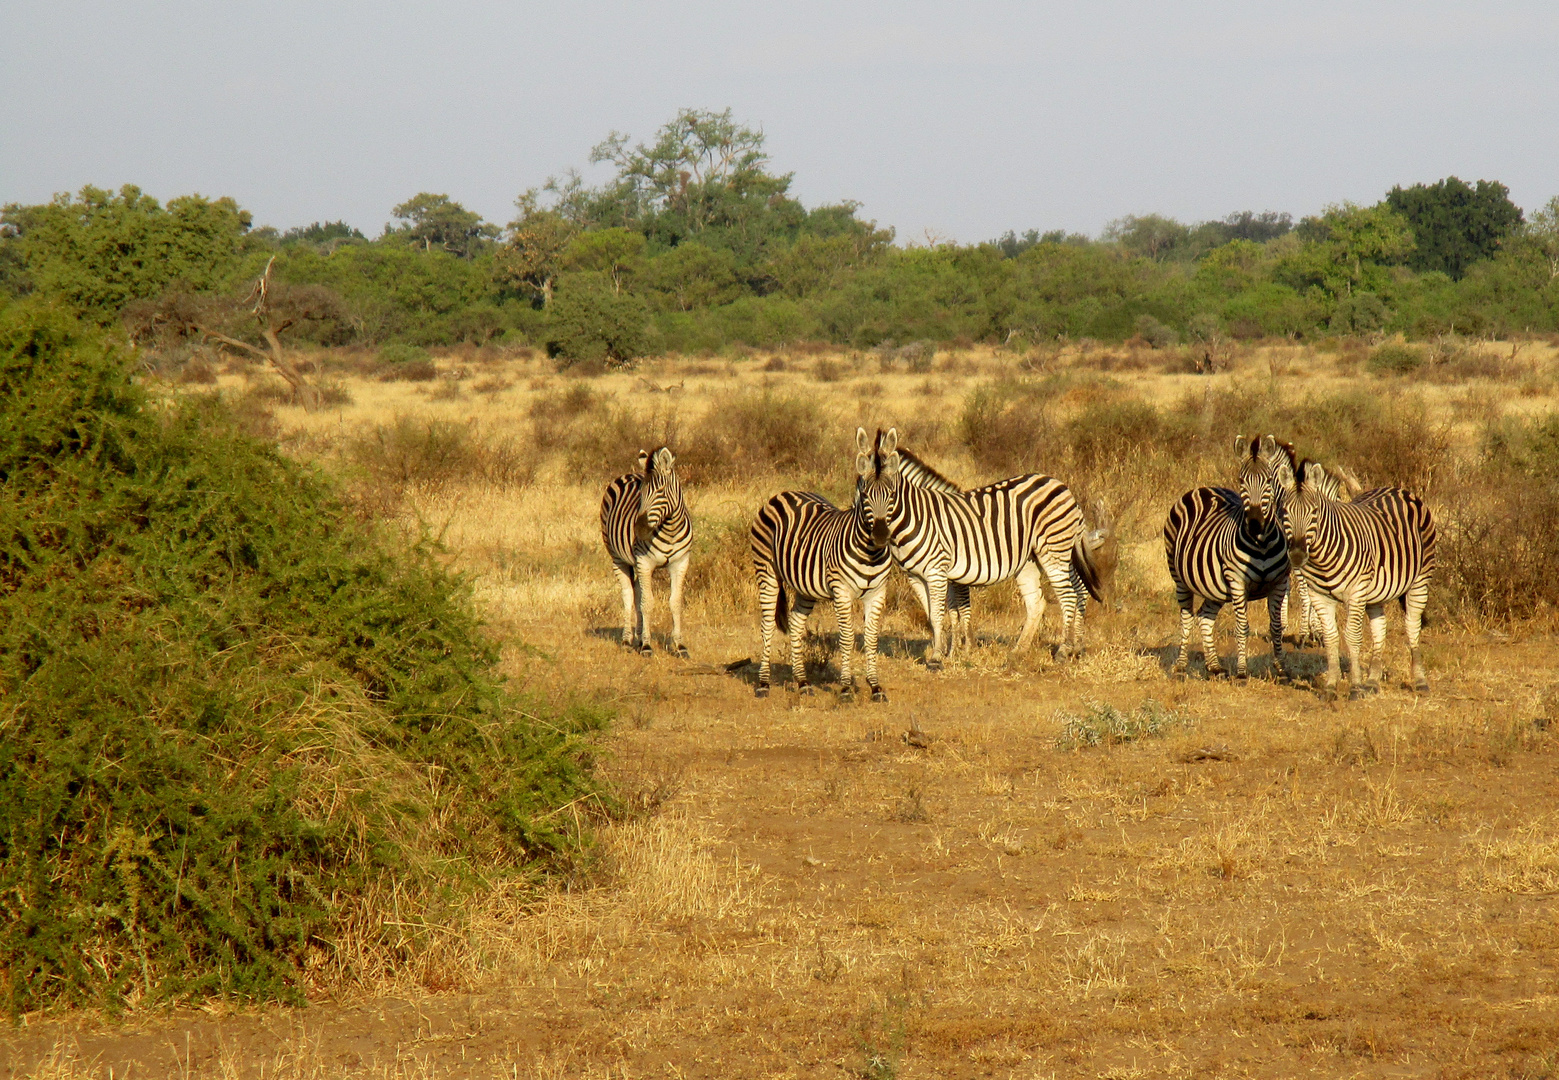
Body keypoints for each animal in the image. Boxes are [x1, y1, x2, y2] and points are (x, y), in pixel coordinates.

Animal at [598, 445, 692, 657]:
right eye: (640, 494)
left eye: (660, 491)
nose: (639, 529)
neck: (670, 529)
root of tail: (628, 474)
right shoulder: (645, 562)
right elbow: (647, 603)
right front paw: (648, 646)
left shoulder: (680, 563)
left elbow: (675, 602)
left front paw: (679, 646)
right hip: (618, 559)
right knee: (628, 596)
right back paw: (627, 640)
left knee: (637, 593)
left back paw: (638, 638)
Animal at [751, 427, 904, 704]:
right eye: (866, 496)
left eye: (891, 495)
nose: (880, 536)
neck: (870, 552)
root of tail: (784, 493)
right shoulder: (841, 591)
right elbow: (846, 637)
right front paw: (845, 688)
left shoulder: (878, 593)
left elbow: (872, 637)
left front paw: (875, 687)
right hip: (766, 572)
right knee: (767, 625)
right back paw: (763, 684)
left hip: (804, 586)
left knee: (795, 622)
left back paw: (802, 682)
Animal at [885, 445, 1116, 667]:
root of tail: (1060, 485)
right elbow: (951, 610)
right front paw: (952, 650)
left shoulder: (953, 572)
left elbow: (959, 608)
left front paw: (963, 648)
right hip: (1049, 555)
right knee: (1071, 592)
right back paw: (1063, 647)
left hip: (1053, 549)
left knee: (1070, 593)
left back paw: (1064, 649)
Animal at [1272, 451, 1428, 695]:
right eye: (1285, 511)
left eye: (1314, 512)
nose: (1296, 556)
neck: (1322, 556)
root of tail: (1397, 489)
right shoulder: (1319, 596)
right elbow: (1331, 637)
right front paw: (1331, 685)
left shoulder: (1355, 593)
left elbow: (1352, 637)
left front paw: (1354, 686)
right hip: (1376, 592)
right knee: (1379, 629)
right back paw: (1372, 680)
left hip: (1420, 579)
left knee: (1412, 626)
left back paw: (1420, 682)